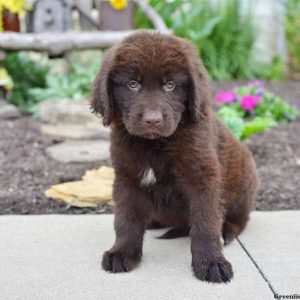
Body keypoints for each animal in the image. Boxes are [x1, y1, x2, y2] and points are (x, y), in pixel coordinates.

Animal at [91, 31, 258, 284]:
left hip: (245, 181)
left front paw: (212, 263)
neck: (155, 144)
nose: (152, 120)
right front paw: (122, 252)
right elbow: (126, 220)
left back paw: (227, 231)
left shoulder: (202, 176)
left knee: (240, 219)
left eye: (170, 85)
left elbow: (205, 223)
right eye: (133, 84)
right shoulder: (126, 178)